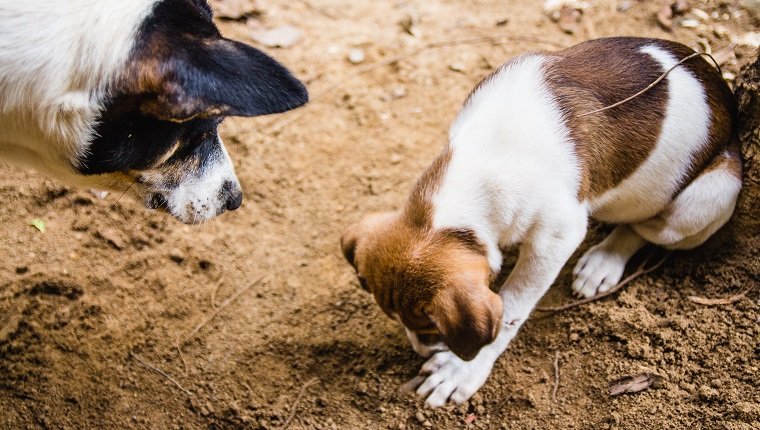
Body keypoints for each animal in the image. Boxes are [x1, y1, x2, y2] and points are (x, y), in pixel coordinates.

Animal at [340, 37, 744, 406]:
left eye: (430, 326)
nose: (422, 351)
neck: (484, 160)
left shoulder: (556, 237)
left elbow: (512, 307)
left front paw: (462, 370)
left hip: (703, 201)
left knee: (643, 227)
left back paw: (604, 261)